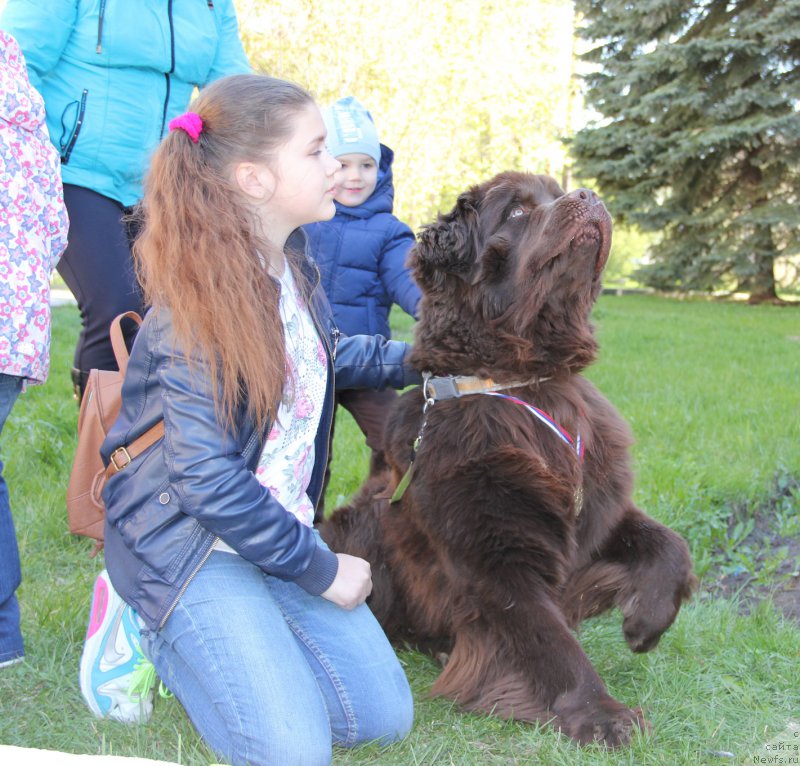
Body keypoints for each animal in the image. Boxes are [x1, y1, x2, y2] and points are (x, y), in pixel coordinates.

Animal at [318, 171, 692, 748]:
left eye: (558, 194)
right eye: (517, 212)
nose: (588, 195)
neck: (525, 383)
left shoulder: (592, 510)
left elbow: (670, 543)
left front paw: (645, 624)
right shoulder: (495, 553)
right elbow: (550, 641)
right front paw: (602, 715)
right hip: (355, 530)